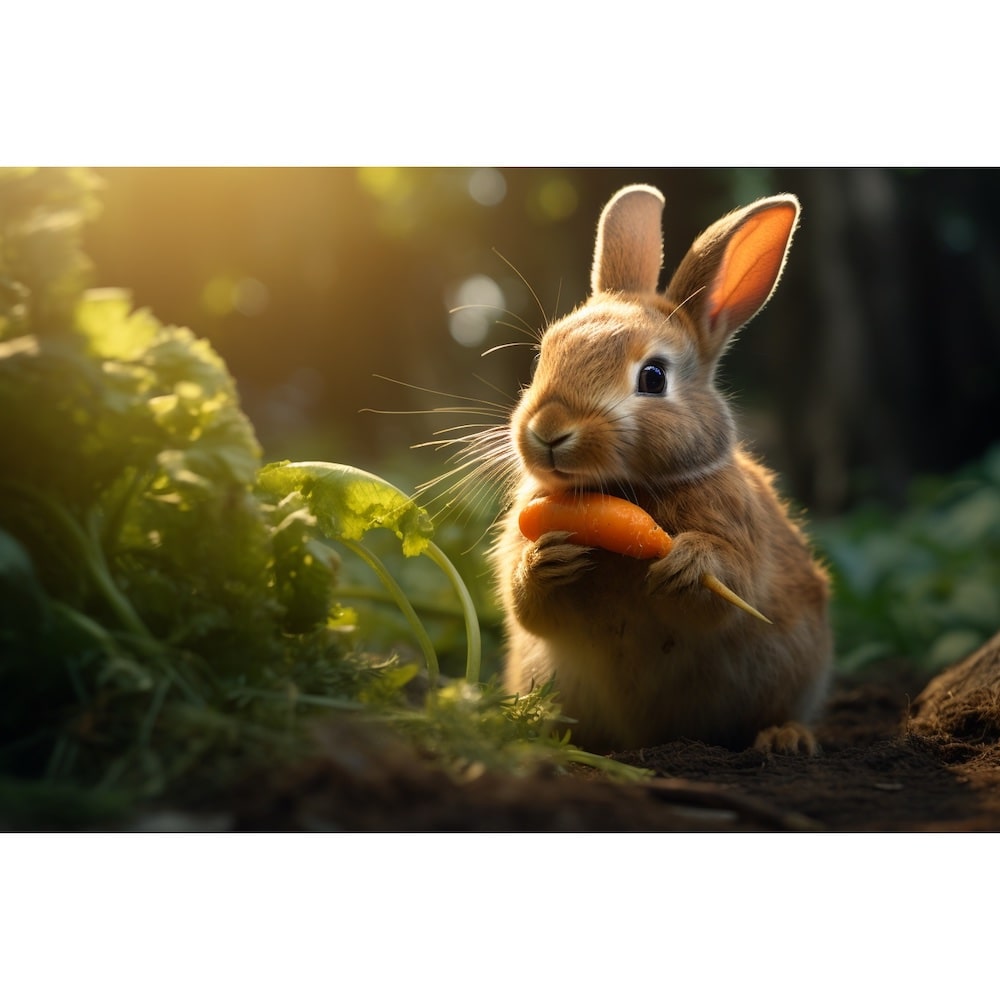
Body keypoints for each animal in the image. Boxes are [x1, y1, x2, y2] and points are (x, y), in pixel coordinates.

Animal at [492, 183, 832, 755]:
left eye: (653, 377)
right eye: (545, 354)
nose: (548, 429)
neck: (621, 491)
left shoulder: (739, 536)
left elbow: (724, 591)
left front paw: (686, 564)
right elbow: (526, 605)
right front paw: (549, 558)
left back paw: (785, 737)